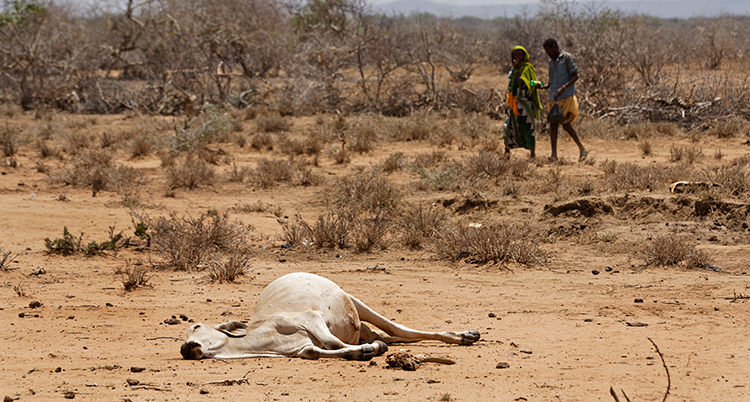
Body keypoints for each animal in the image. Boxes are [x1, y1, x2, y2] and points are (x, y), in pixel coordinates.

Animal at [181, 272, 482, 360]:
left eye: (195, 326)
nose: (185, 348)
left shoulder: (311, 319)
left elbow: (333, 342)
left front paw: (371, 349)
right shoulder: (304, 350)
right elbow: (319, 351)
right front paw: (364, 350)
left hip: (355, 302)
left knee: (399, 330)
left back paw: (466, 335)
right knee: (392, 336)